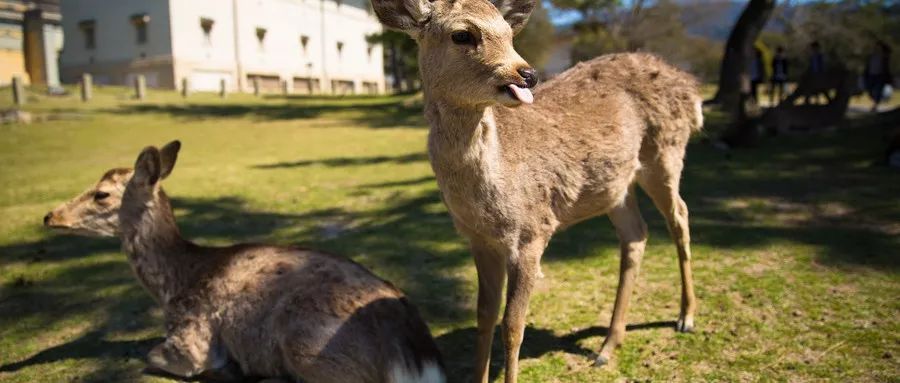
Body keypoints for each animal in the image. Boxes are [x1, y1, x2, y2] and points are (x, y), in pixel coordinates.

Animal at [45, 142, 446, 383]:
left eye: (100, 194)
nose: (50, 216)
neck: (172, 287)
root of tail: (417, 360)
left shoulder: (190, 337)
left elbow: (154, 355)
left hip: (311, 348)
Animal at [370, 0, 704, 380]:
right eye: (462, 34)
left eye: (508, 32)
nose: (527, 74)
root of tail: (691, 87)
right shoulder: (479, 240)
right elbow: (484, 316)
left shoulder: (532, 232)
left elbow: (512, 325)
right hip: (617, 186)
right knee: (636, 234)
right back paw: (607, 346)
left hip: (665, 152)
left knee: (680, 215)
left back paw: (686, 317)